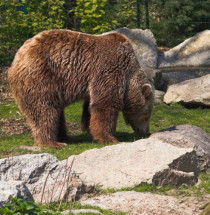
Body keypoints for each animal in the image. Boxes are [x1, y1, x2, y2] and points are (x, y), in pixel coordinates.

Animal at [8, 29, 154, 148]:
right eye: (146, 116)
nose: (146, 132)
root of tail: (17, 56)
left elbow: (90, 108)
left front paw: (91, 131)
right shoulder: (109, 69)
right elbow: (105, 104)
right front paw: (111, 138)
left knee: (56, 111)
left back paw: (66, 138)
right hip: (41, 76)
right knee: (44, 109)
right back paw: (52, 142)